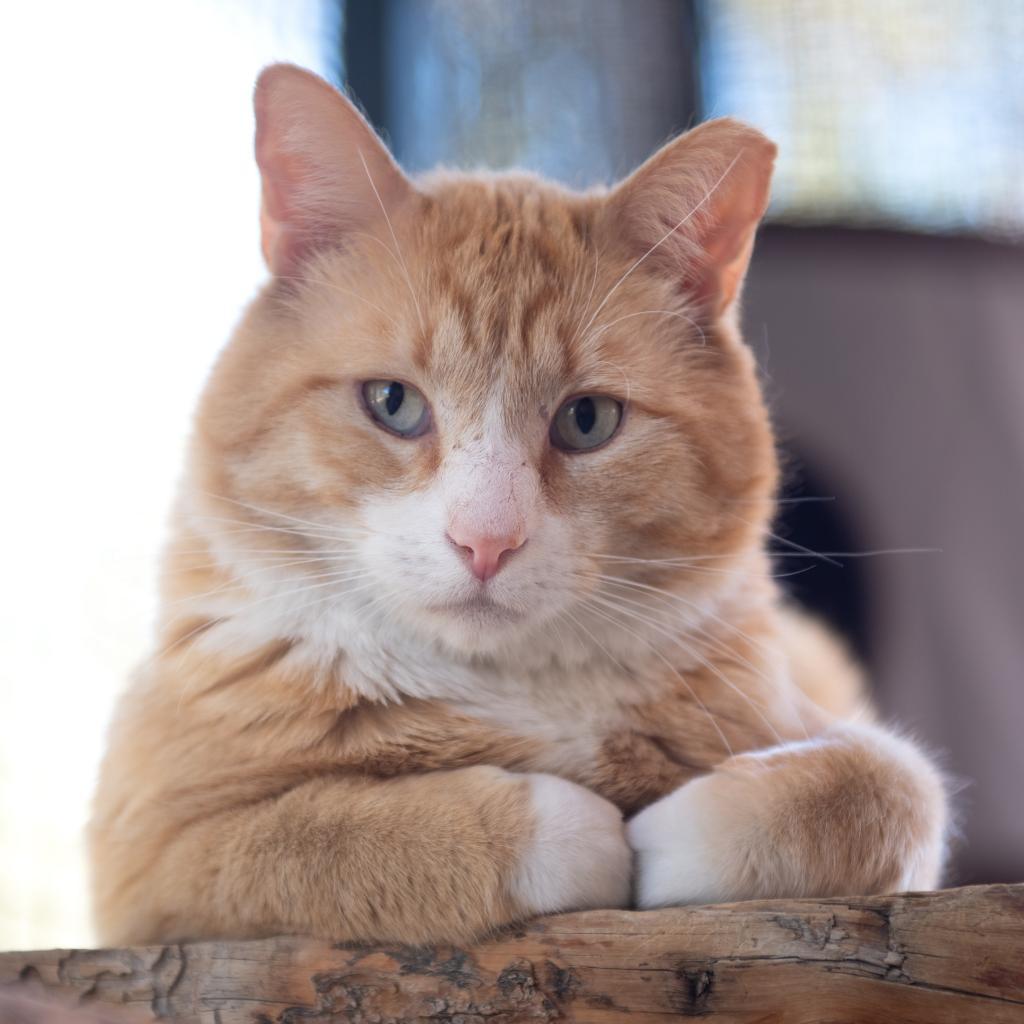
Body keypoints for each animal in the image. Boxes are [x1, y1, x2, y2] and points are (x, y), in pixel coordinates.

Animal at [88, 61, 942, 942]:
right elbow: (338, 834)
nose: (485, 542)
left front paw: (671, 838)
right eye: (393, 402)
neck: (518, 693)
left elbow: (883, 784)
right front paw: (581, 833)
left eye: (587, 420)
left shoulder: (831, 734)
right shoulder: (158, 858)